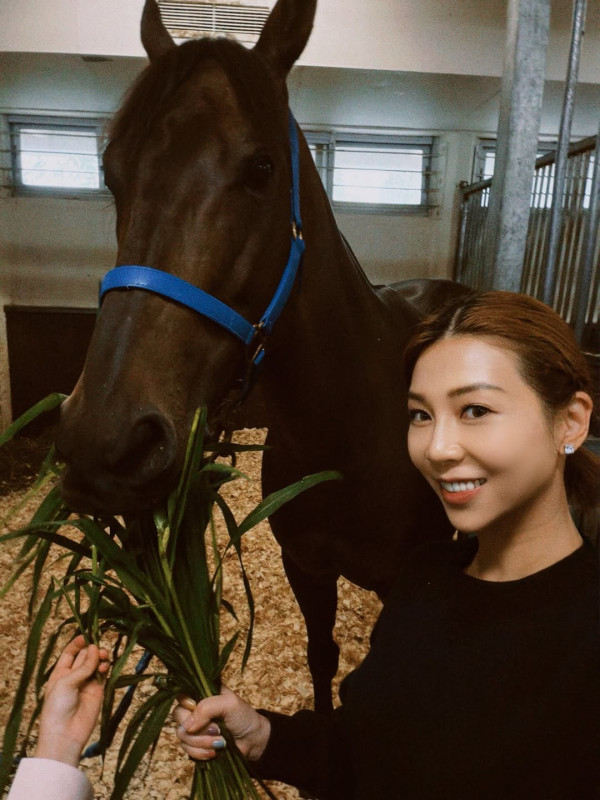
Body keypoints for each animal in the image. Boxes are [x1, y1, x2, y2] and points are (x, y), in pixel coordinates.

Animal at [56, 0, 469, 713]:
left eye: (261, 169)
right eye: (111, 172)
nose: (102, 444)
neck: (350, 434)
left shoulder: (400, 585)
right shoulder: (307, 568)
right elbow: (322, 658)